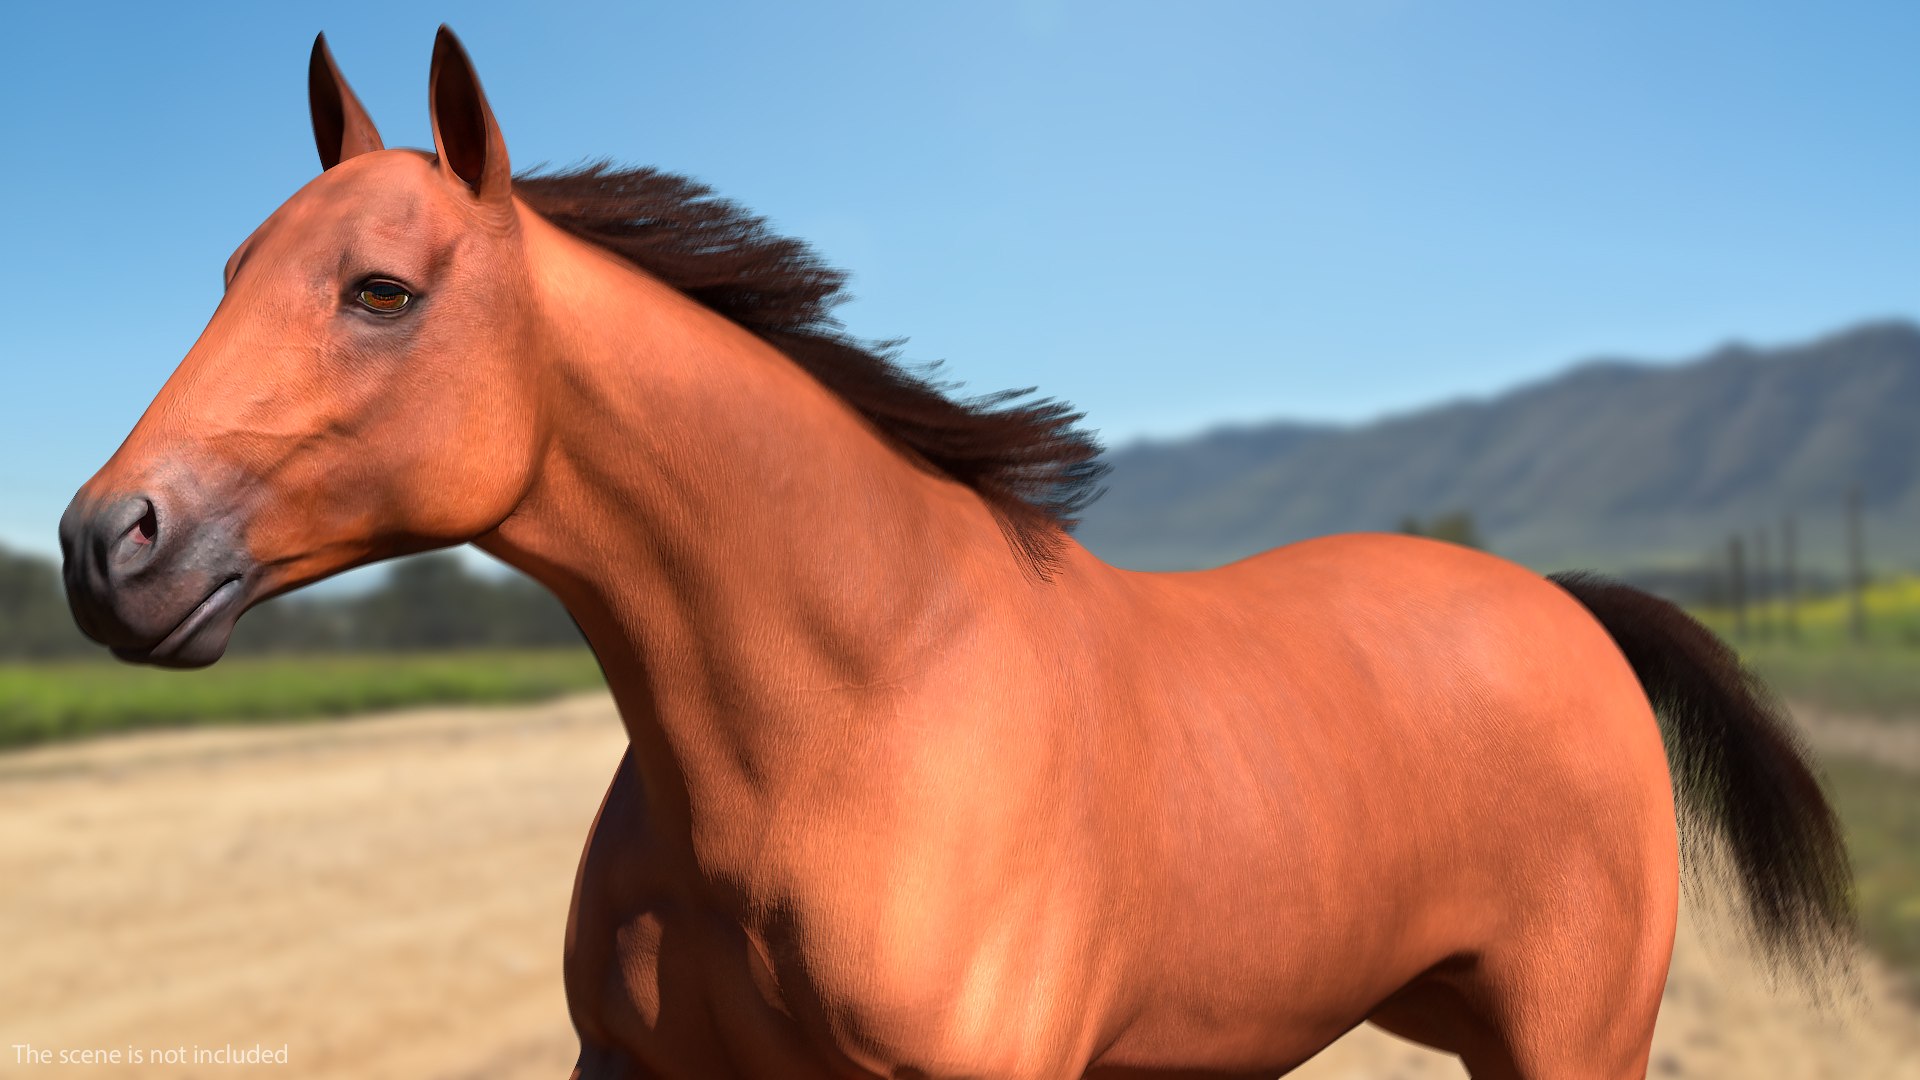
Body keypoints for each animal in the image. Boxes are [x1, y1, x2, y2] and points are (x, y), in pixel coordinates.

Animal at [61, 28, 1853, 1080]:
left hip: (1572, 1038)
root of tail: (1565, 611)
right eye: (229, 270)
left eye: (381, 290)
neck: (854, 710)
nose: (105, 543)